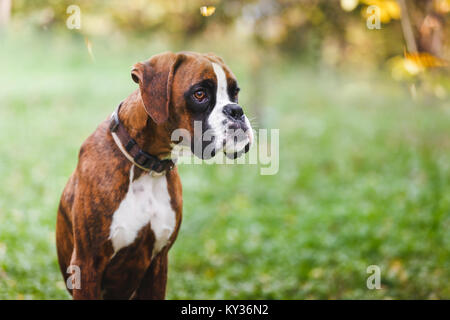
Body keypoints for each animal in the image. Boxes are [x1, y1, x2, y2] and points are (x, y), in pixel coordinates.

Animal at [55, 51, 253, 298]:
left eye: (235, 92)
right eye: (200, 94)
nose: (236, 111)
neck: (148, 166)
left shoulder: (158, 262)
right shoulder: (87, 264)